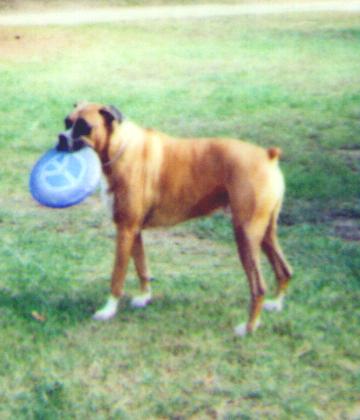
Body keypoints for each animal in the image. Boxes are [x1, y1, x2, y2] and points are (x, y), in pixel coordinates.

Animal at [57, 102, 292, 338]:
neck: (119, 146)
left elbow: (117, 276)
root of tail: (268, 155)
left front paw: (108, 310)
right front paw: (145, 297)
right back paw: (276, 304)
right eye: (67, 122)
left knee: (258, 287)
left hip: (245, 235)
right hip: (265, 234)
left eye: (84, 126)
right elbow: (142, 267)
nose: (61, 137)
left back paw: (249, 327)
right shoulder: (134, 230)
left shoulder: (125, 230)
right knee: (285, 270)